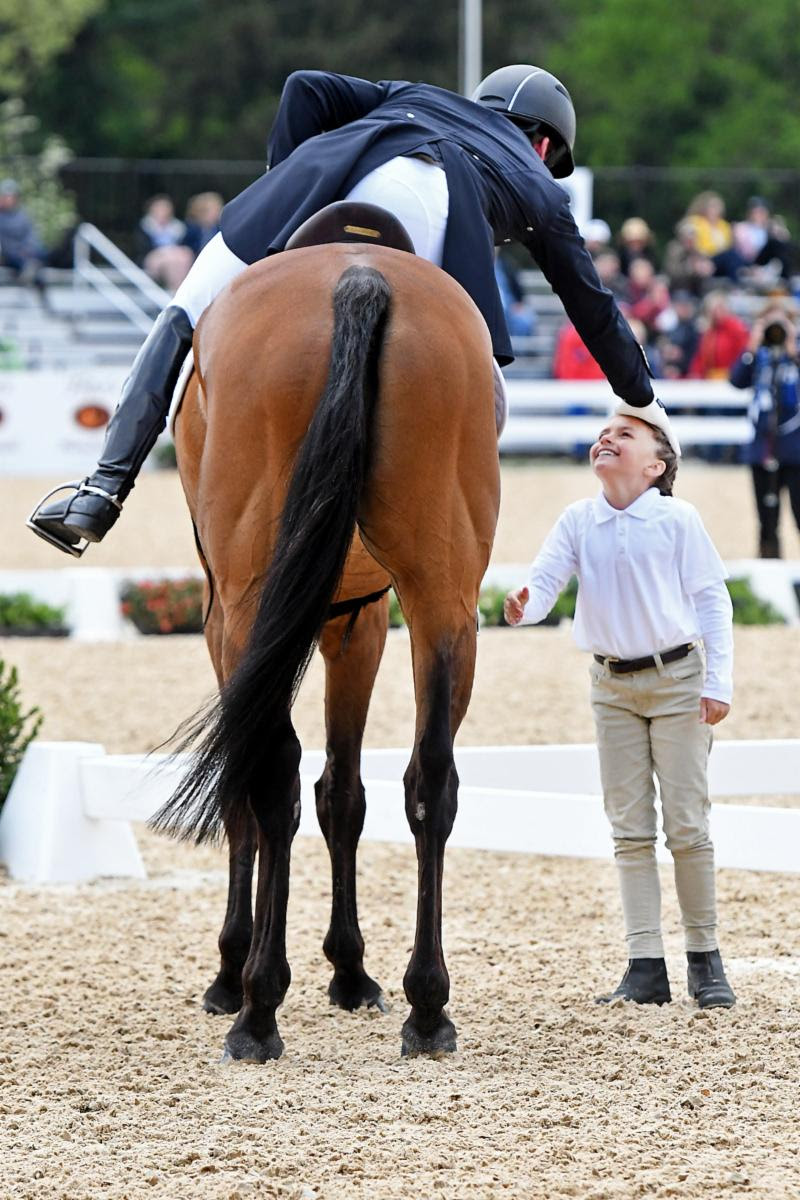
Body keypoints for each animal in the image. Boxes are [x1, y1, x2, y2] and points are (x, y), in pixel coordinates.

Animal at [153, 215, 500, 1062]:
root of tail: (358, 276)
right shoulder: (359, 622)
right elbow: (344, 792)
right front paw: (351, 974)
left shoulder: (231, 624)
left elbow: (251, 786)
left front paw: (237, 971)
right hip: (443, 602)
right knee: (430, 779)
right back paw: (427, 1009)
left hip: (250, 606)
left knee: (270, 775)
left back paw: (256, 1009)